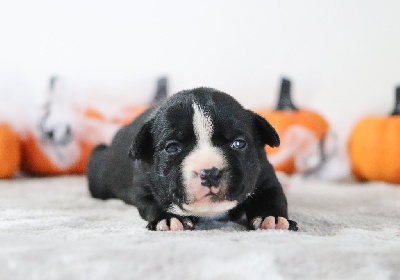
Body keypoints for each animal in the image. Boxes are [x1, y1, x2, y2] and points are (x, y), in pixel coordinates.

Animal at [88, 88, 300, 232]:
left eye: (239, 144)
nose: (210, 173)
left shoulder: (264, 175)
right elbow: (151, 202)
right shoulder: (143, 184)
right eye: (172, 147)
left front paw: (271, 217)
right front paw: (168, 218)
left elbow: (272, 195)